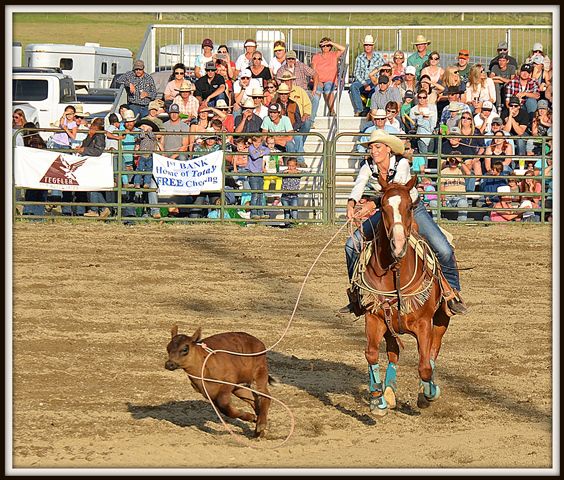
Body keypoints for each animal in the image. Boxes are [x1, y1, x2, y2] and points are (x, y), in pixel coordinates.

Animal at [352, 173, 450, 416]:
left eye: (409, 207)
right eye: (383, 206)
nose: (397, 245)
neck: (396, 272)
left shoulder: (424, 324)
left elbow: (424, 366)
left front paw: (429, 393)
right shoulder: (374, 318)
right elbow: (371, 354)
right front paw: (377, 399)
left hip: (442, 319)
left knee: (433, 350)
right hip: (391, 327)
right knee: (393, 353)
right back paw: (388, 392)